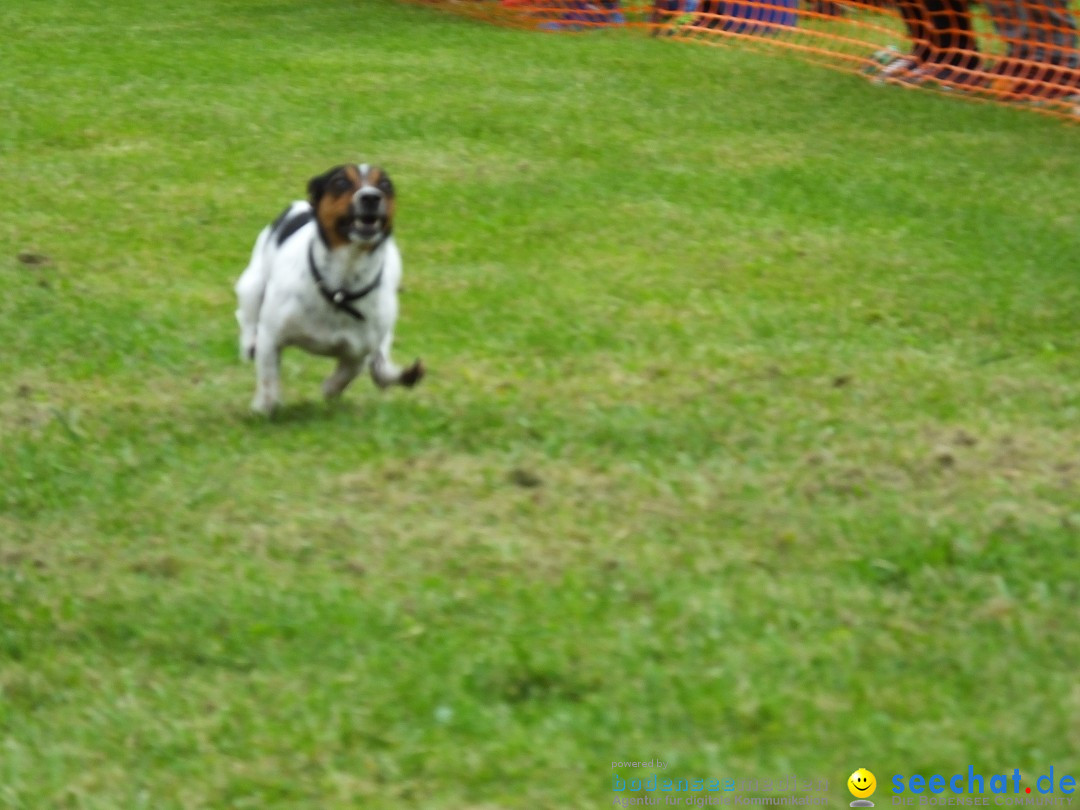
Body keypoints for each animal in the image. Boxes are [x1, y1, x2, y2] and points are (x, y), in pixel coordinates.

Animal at [234, 165, 423, 419]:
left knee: (380, 365)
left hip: (386, 326)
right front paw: (264, 407)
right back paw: (248, 344)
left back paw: (396, 374)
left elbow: (345, 376)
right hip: (251, 286)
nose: (371, 197)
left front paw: (329, 389)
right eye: (341, 183)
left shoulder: (358, 352)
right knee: (247, 319)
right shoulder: (271, 338)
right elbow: (268, 379)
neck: (340, 288)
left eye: (385, 185)